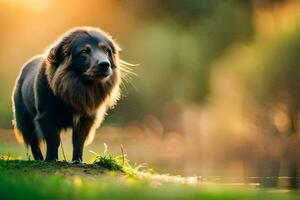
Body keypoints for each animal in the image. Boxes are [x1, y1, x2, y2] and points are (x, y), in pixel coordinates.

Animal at [11, 26, 131, 162]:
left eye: (106, 51)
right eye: (84, 51)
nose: (105, 64)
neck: (78, 85)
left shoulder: (86, 117)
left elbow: (78, 141)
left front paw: (77, 160)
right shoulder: (45, 115)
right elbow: (53, 140)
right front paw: (51, 159)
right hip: (24, 118)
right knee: (33, 142)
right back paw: (39, 159)